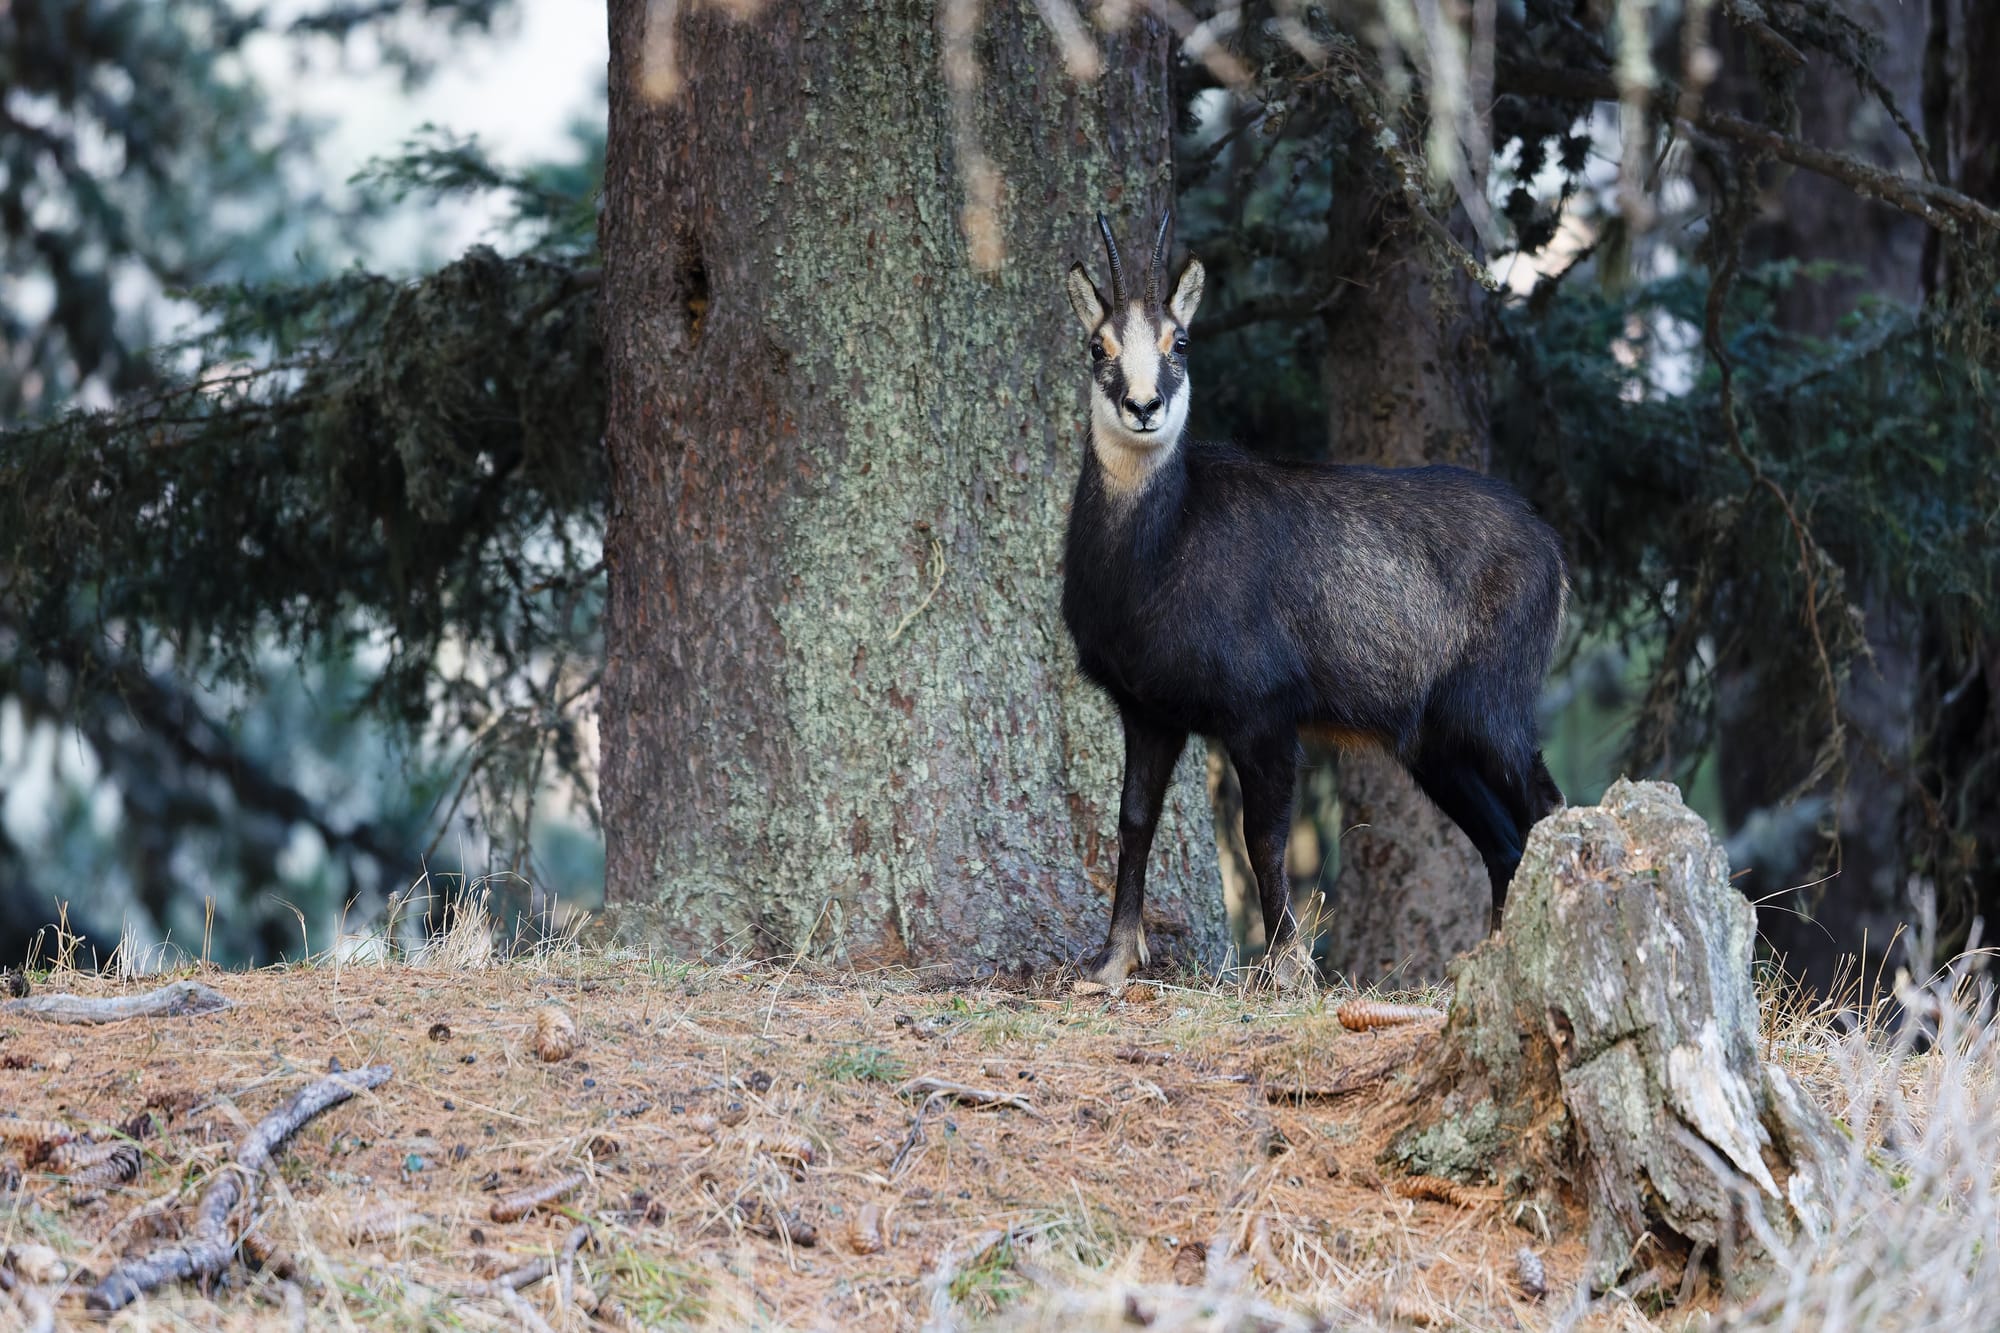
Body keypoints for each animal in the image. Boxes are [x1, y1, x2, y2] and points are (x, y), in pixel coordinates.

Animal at [1060, 212, 1568, 987]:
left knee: (1547, 806)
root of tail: (1552, 549)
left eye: (1181, 340)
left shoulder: (1263, 709)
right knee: (1504, 841)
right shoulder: (1147, 708)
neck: (1155, 557)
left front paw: (1286, 970)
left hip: (1493, 704)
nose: (1144, 406)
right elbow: (1133, 820)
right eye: (1099, 345)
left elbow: (1262, 837)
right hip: (1434, 739)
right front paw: (1110, 964)